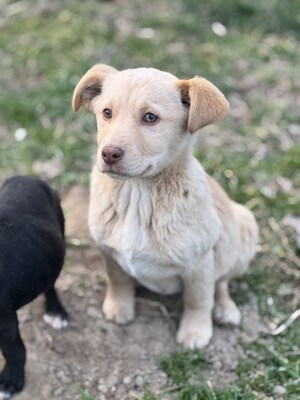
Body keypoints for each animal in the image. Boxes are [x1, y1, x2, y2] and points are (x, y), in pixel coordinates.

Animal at [0, 176, 68, 396]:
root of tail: (26, 178)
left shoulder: (5, 322)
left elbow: (13, 349)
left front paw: (10, 380)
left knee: (51, 286)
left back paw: (56, 311)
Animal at [74, 64, 258, 348]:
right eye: (107, 112)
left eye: (150, 118)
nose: (108, 154)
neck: (137, 194)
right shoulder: (108, 250)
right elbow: (117, 279)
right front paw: (119, 306)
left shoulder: (199, 262)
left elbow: (198, 299)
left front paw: (195, 331)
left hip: (244, 226)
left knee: (222, 281)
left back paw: (225, 309)